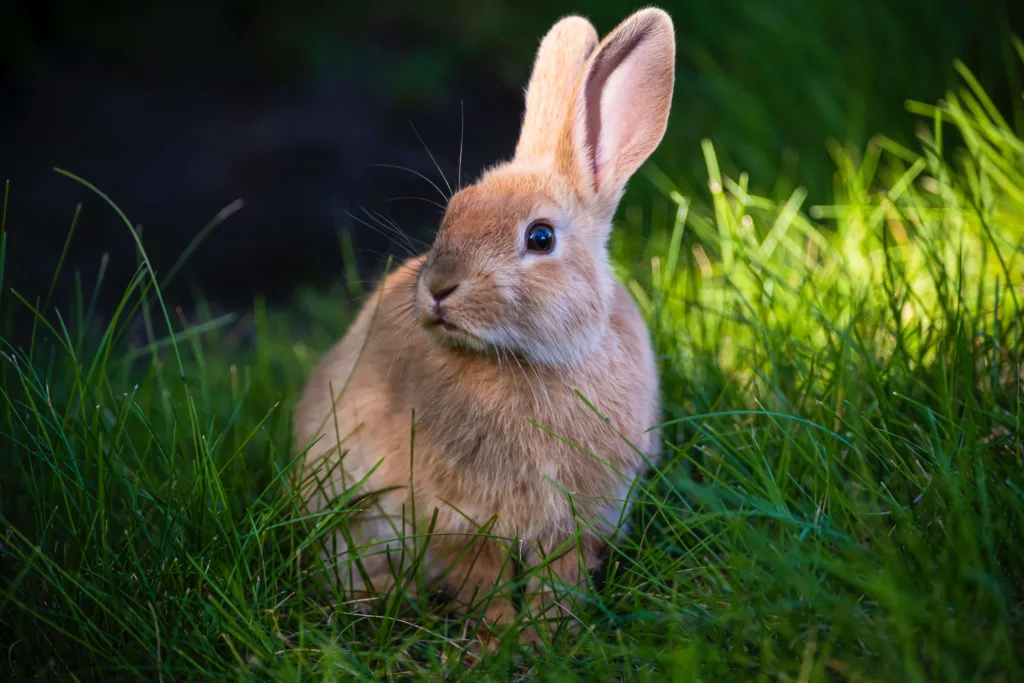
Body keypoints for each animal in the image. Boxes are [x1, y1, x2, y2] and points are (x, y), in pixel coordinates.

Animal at [294, 7, 675, 646]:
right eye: (453, 213)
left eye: (540, 237)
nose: (438, 287)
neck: (526, 360)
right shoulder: (458, 520)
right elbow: (483, 581)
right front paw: (500, 639)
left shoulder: (576, 520)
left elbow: (557, 578)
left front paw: (548, 634)